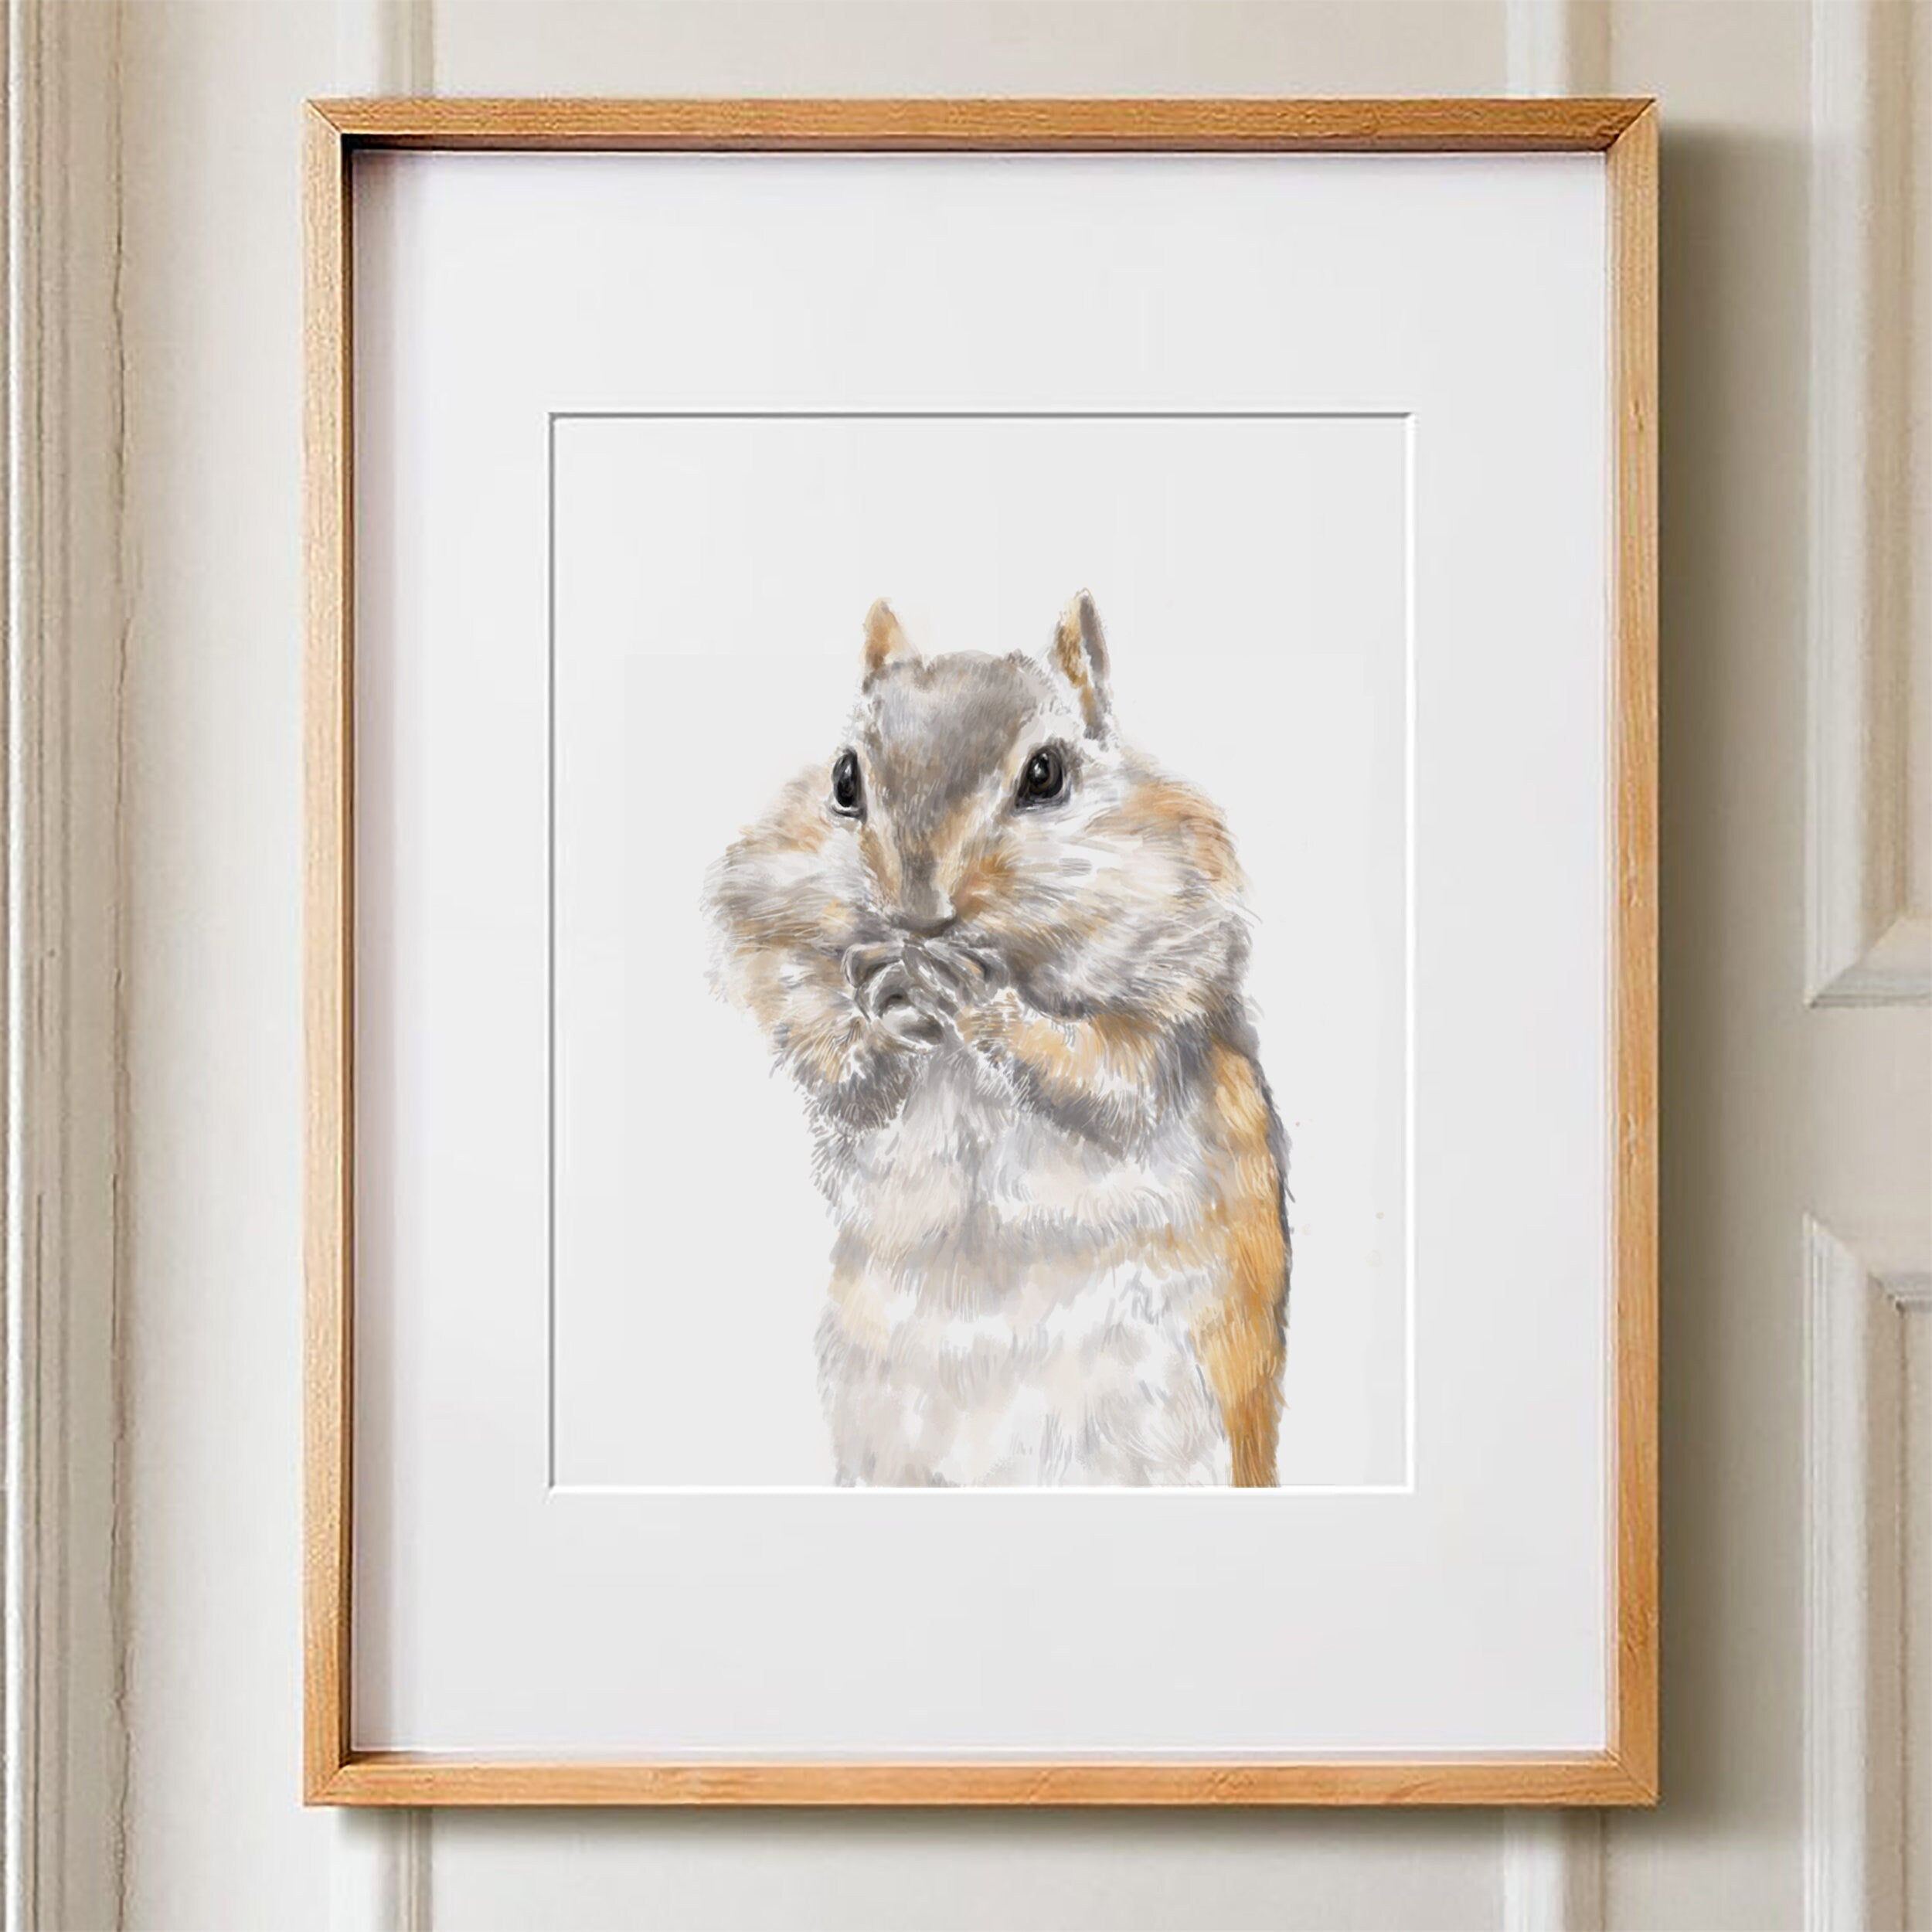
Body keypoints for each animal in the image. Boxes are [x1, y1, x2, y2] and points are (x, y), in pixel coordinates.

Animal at [703, 594, 1289, 1486]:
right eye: (843, 779)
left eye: (1045, 774)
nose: (915, 912)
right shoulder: (774, 944)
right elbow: (823, 1044)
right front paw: (879, 1025)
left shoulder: (1176, 980)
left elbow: (1107, 1077)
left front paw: (982, 1003)